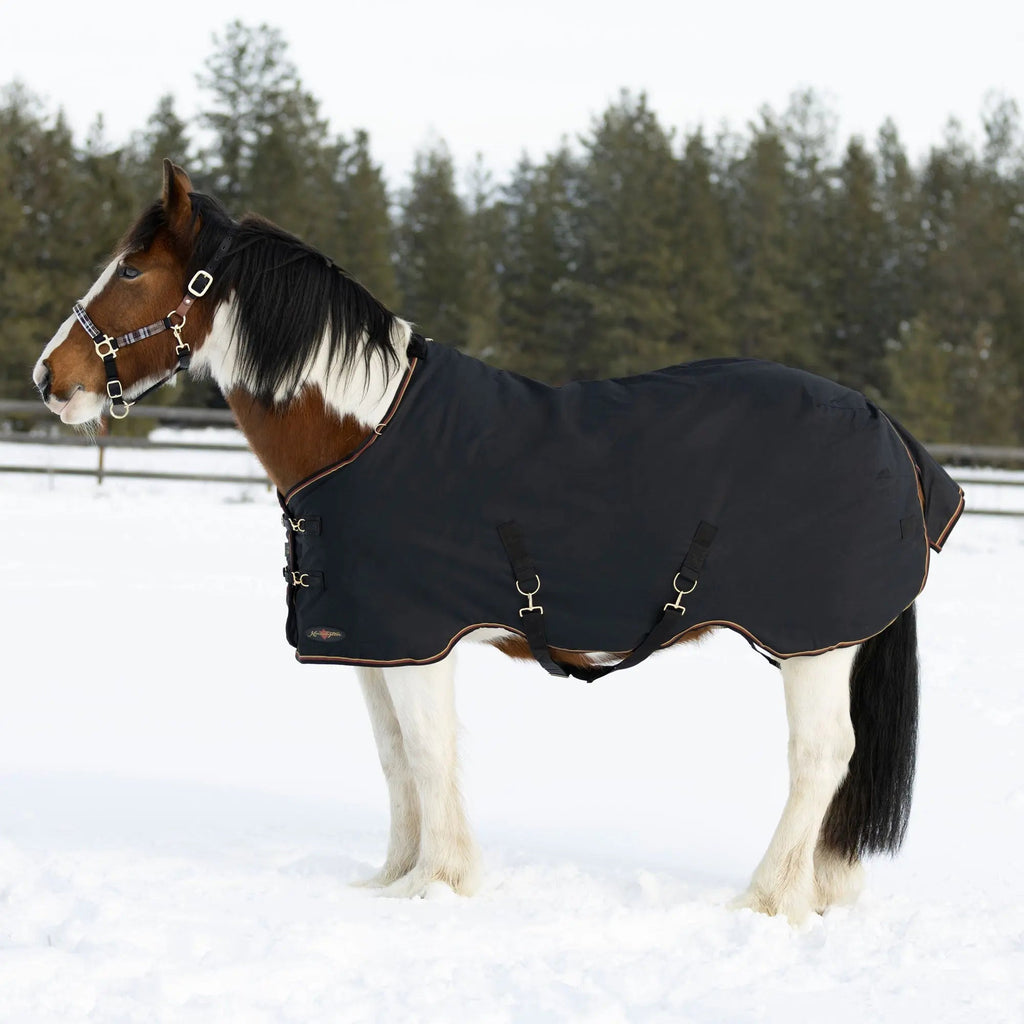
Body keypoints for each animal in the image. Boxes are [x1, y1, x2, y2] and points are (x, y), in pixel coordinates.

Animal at [33, 160, 963, 923]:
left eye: (131, 269)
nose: (49, 379)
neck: (367, 434)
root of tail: (884, 427)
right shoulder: (373, 646)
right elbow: (394, 759)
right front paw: (392, 879)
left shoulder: (420, 642)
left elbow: (430, 752)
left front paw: (439, 884)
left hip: (814, 645)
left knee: (823, 757)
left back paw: (765, 899)